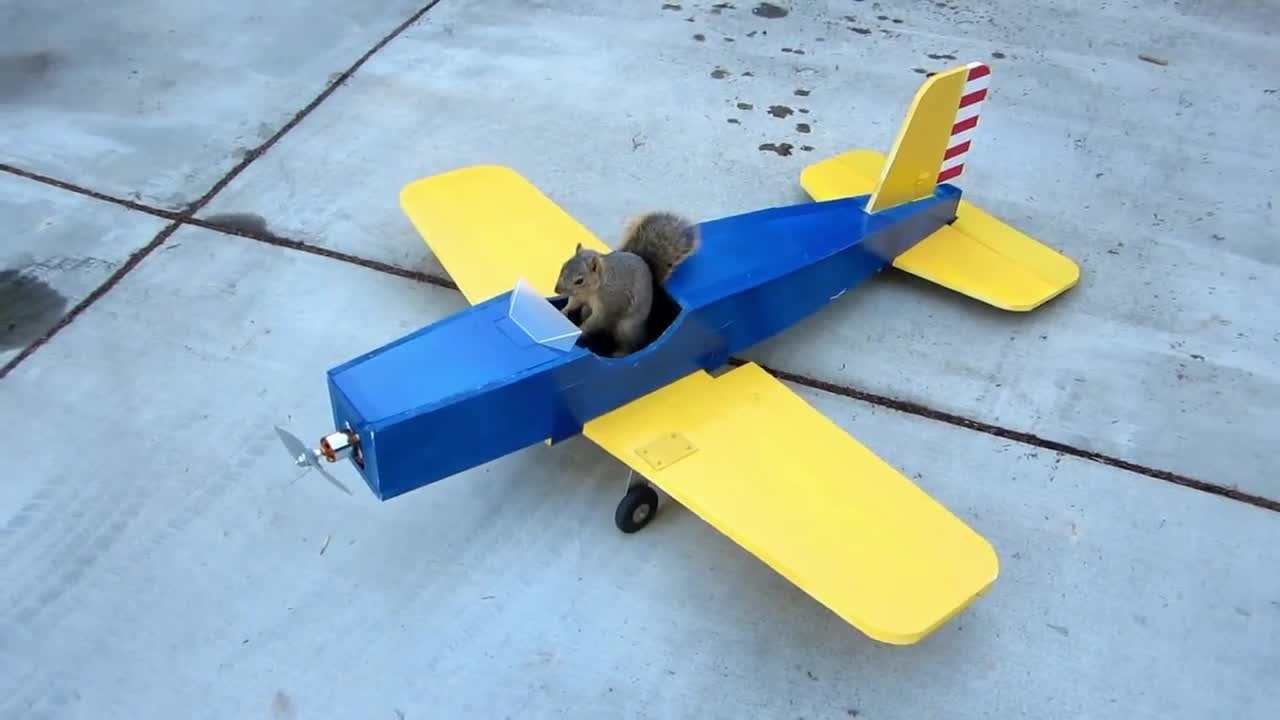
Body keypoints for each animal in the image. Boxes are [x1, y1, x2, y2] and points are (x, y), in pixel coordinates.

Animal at [553, 211, 700, 357]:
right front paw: (564, 310)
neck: (594, 289)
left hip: (626, 328)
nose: (557, 290)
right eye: (563, 266)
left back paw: (620, 352)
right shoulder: (579, 296)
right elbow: (573, 303)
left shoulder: (610, 304)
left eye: (579, 280)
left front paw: (581, 330)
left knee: (631, 344)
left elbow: (598, 321)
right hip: (589, 310)